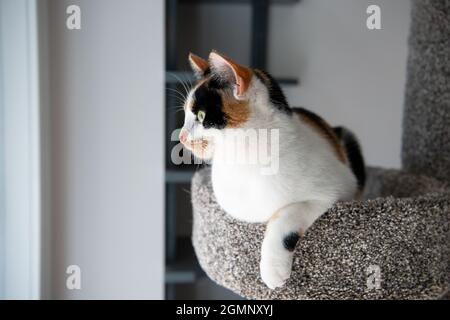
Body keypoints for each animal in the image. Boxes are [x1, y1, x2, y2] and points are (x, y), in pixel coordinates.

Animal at [179, 50, 366, 290]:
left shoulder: (332, 189)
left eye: (201, 116)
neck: (246, 161)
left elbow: (285, 215)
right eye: (185, 114)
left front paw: (272, 269)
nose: (181, 137)